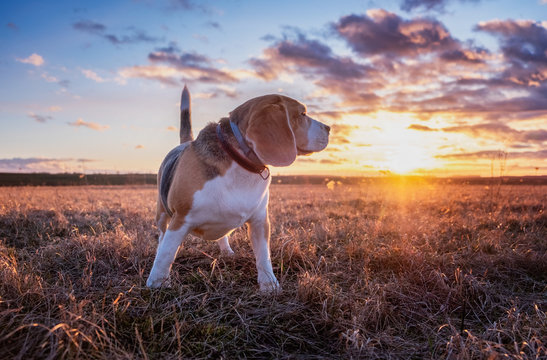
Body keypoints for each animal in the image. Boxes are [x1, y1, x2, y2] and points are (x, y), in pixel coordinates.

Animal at [146, 87, 332, 292]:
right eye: (303, 114)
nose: (329, 128)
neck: (240, 160)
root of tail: (183, 144)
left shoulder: (260, 221)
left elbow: (263, 256)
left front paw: (269, 284)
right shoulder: (181, 218)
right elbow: (166, 254)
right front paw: (157, 283)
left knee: (222, 237)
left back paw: (227, 251)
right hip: (162, 214)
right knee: (162, 237)